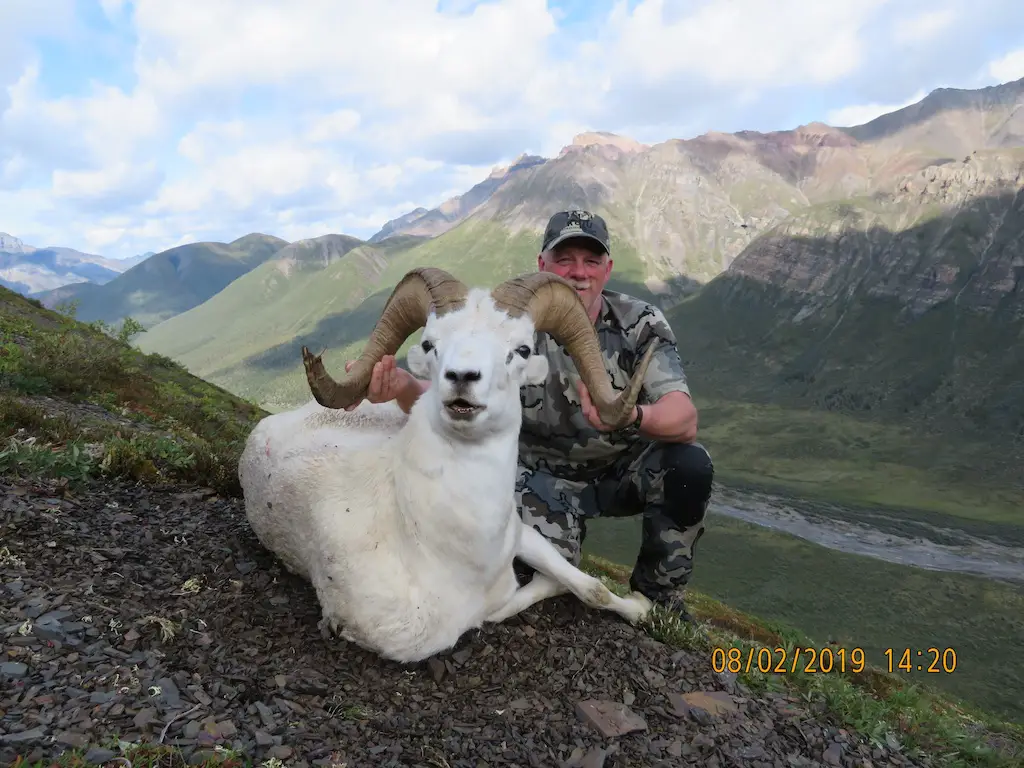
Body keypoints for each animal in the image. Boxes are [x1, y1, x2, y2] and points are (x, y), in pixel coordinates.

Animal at [238, 268, 655, 663]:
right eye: (429, 344)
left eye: (522, 349)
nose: (462, 378)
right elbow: (504, 606)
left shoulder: (523, 535)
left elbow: (592, 588)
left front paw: (640, 608)